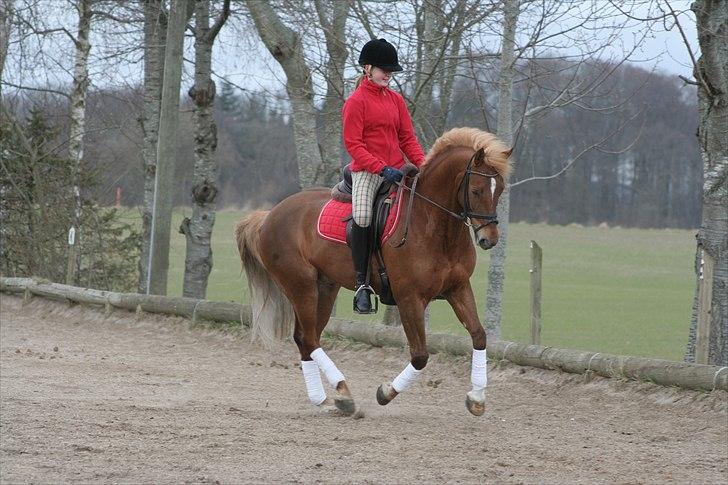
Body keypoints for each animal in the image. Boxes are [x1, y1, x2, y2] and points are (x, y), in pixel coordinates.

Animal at [236, 126, 510, 414]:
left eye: (500, 190)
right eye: (477, 190)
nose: (489, 239)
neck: (433, 225)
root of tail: (269, 215)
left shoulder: (458, 288)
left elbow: (479, 336)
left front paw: (477, 397)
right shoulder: (409, 298)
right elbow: (420, 356)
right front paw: (385, 393)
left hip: (324, 287)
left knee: (305, 339)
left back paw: (324, 399)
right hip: (301, 286)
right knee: (309, 339)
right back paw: (343, 393)